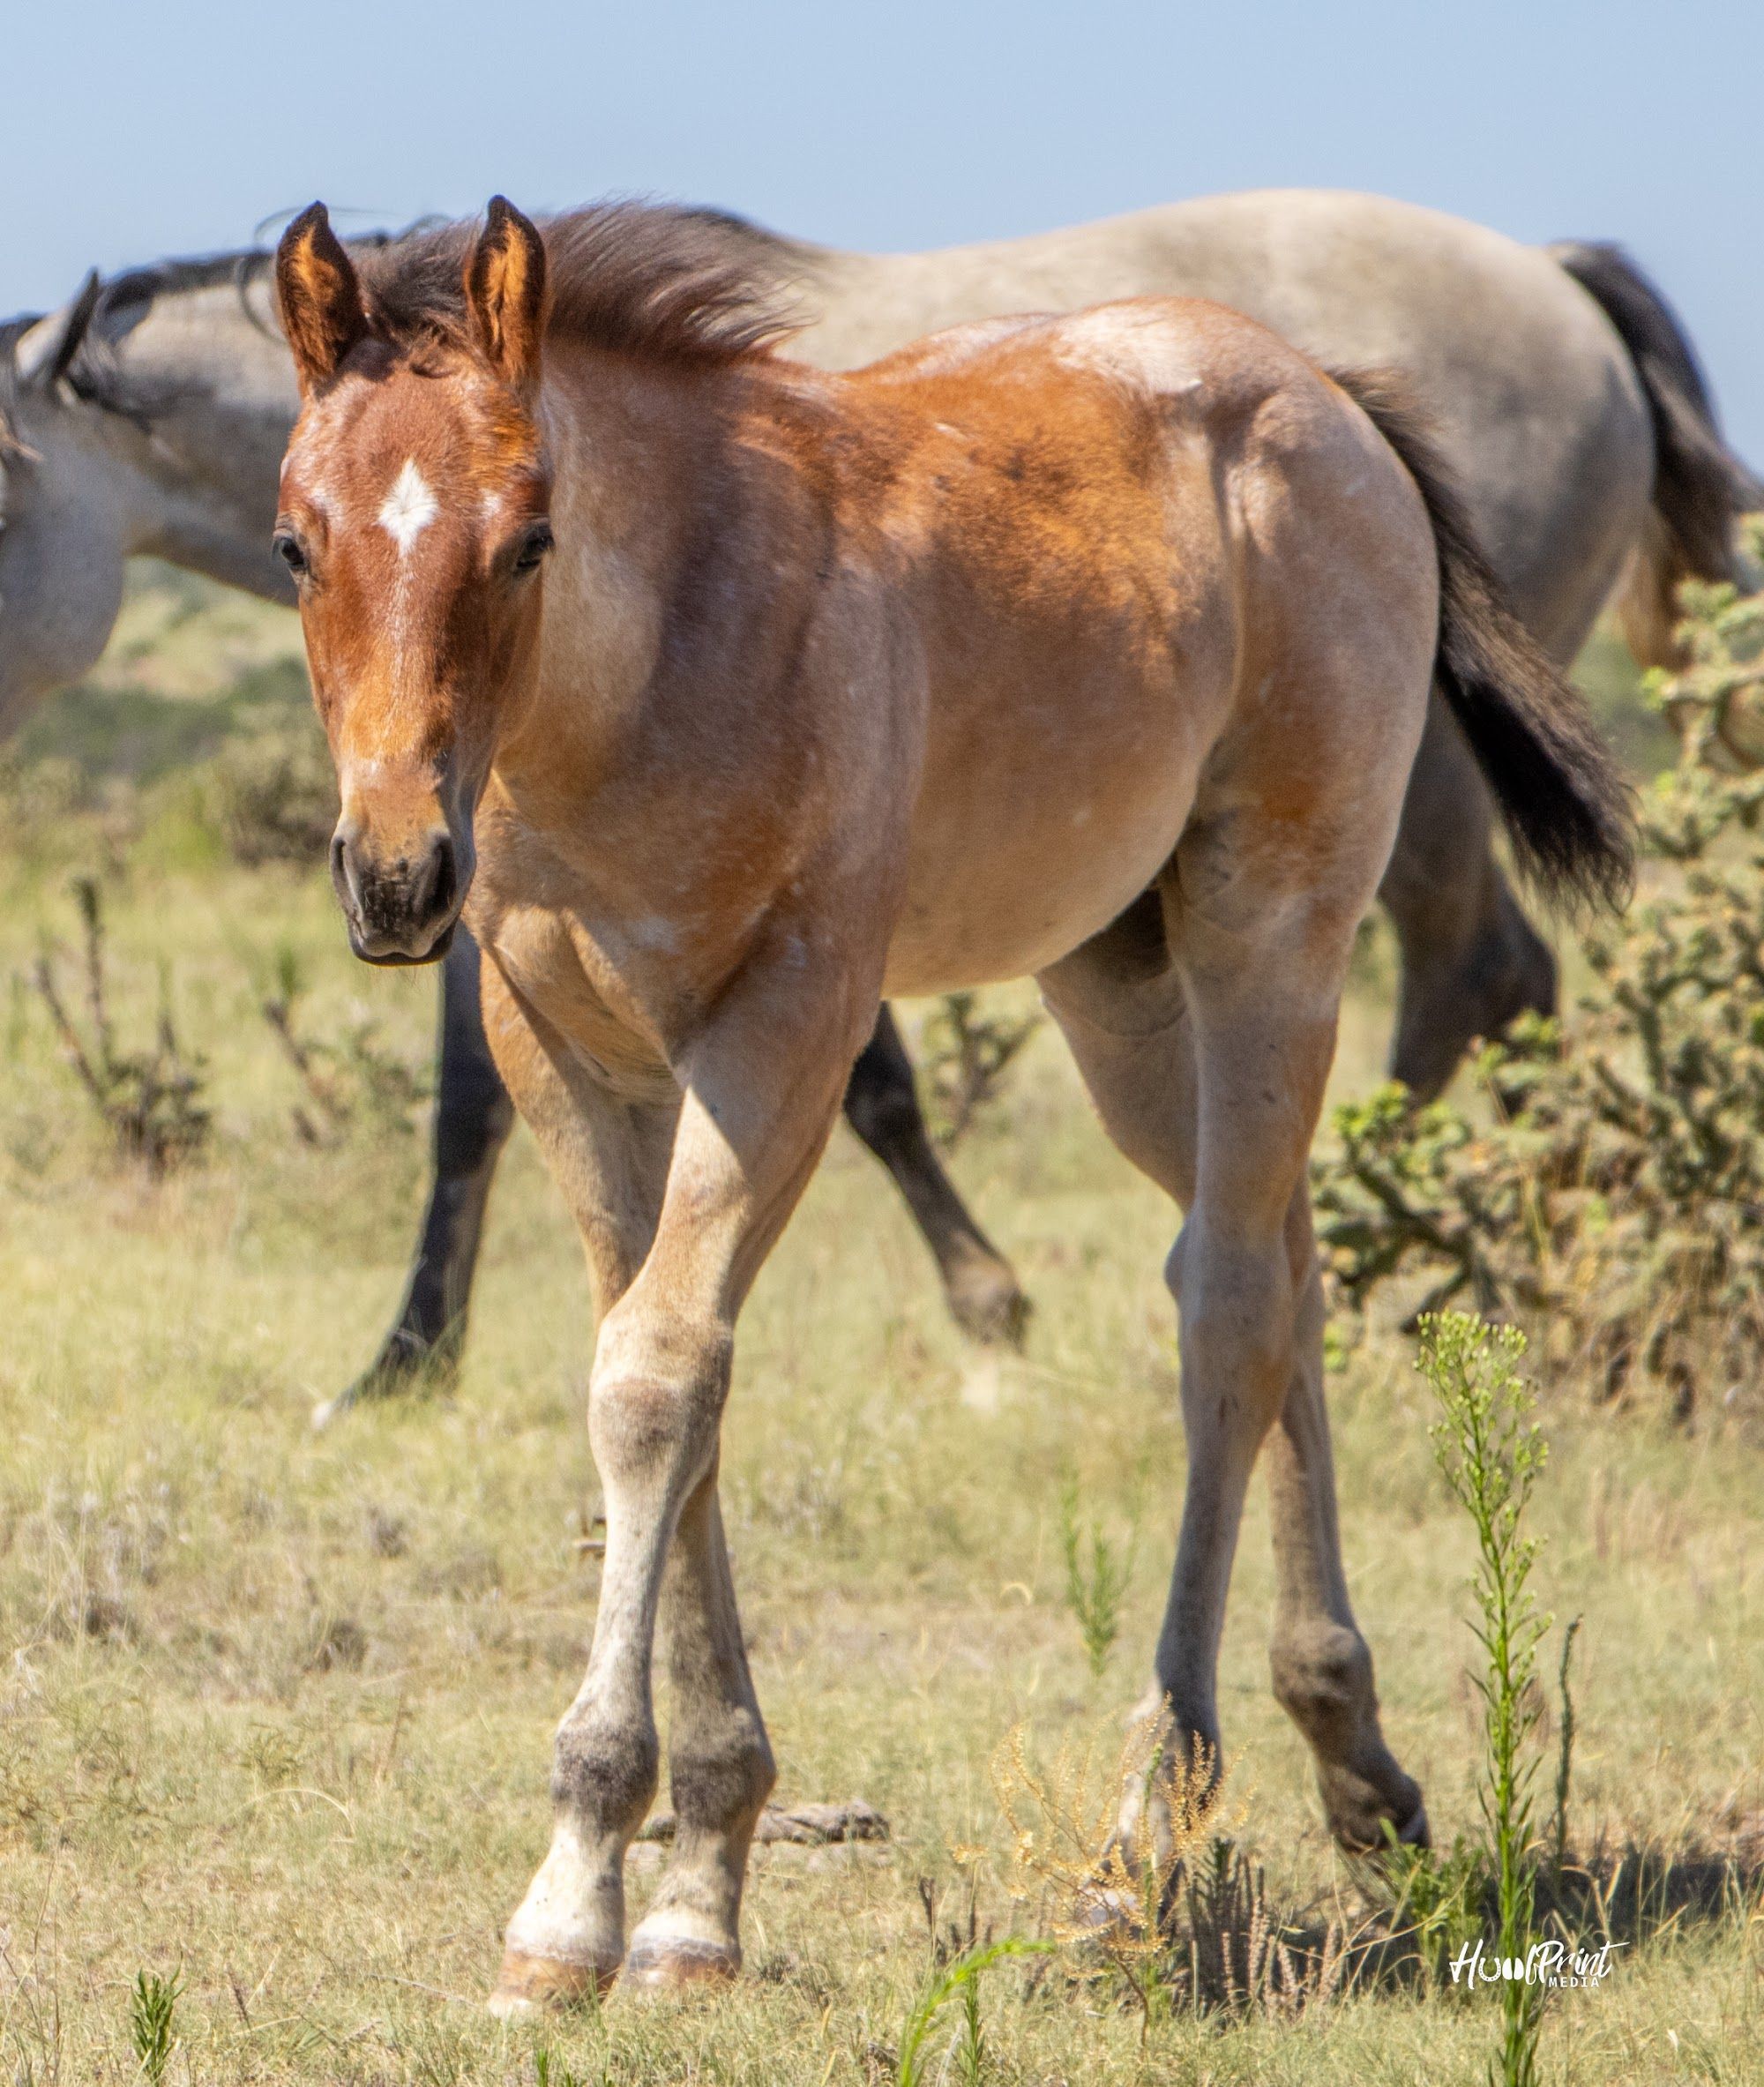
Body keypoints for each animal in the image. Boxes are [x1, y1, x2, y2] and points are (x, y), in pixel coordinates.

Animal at [1, 193, 1748, 1411]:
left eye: (5, 492)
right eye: (294, 543)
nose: (385, 882)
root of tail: (1549, 271)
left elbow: (726, 1101)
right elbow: (536, 1102)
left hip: (1395, 801)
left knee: (1460, 981)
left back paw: (1404, 1264)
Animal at [269, 195, 1631, 2003]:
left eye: (530, 538)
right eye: (295, 543)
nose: (398, 874)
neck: (643, 681)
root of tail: (1322, 388)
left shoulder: (785, 1027)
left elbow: (654, 1377)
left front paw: (579, 1895)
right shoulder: (558, 1044)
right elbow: (665, 1383)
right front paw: (701, 1869)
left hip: (1273, 933)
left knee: (1228, 1306)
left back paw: (1148, 1823)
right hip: (1119, 983)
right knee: (1280, 1267)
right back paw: (1354, 1757)